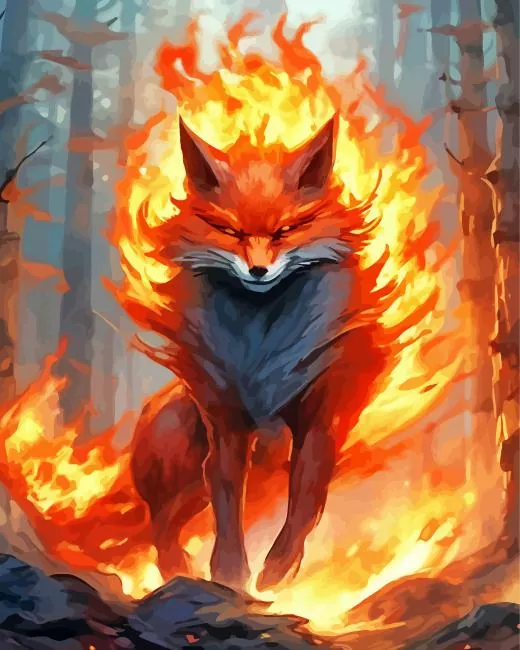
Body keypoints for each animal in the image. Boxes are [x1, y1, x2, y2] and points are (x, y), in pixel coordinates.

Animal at [129, 113, 388, 592]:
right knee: (162, 521)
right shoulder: (226, 425)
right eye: (231, 232)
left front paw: (278, 571)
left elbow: (305, 503)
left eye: (284, 231)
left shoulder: (319, 422)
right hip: (187, 464)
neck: (263, 349)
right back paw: (176, 571)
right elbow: (228, 505)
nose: (258, 270)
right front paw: (231, 575)